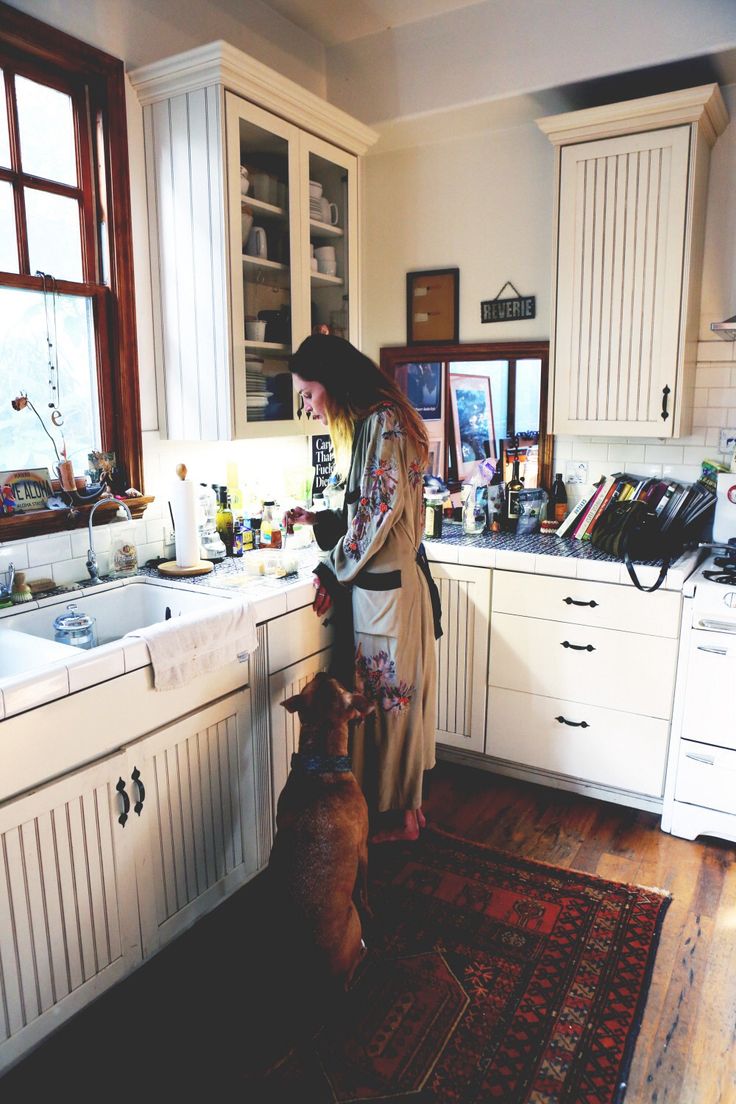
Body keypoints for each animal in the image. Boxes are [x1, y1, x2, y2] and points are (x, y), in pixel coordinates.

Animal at [265, 671, 375, 993]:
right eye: (341, 685)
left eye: (310, 685)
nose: (323, 671)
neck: (322, 761)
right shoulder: (364, 848)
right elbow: (365, 888)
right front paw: (372, 908)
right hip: (354, 921)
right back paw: (363, 953)